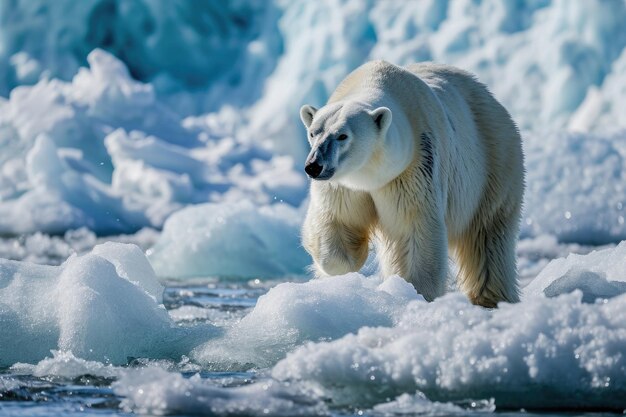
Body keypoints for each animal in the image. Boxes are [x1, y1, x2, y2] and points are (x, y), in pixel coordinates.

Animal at [300, 61, 524, 306]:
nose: (314, 166)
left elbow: (413, 228)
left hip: (494, 164)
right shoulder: (343, 186)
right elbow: (337, 221)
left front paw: (416, 291)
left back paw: (491, 298)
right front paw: (352, 260)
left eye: (342, 136)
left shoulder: (414, 168)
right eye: (313, 133)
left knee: (488, 237)